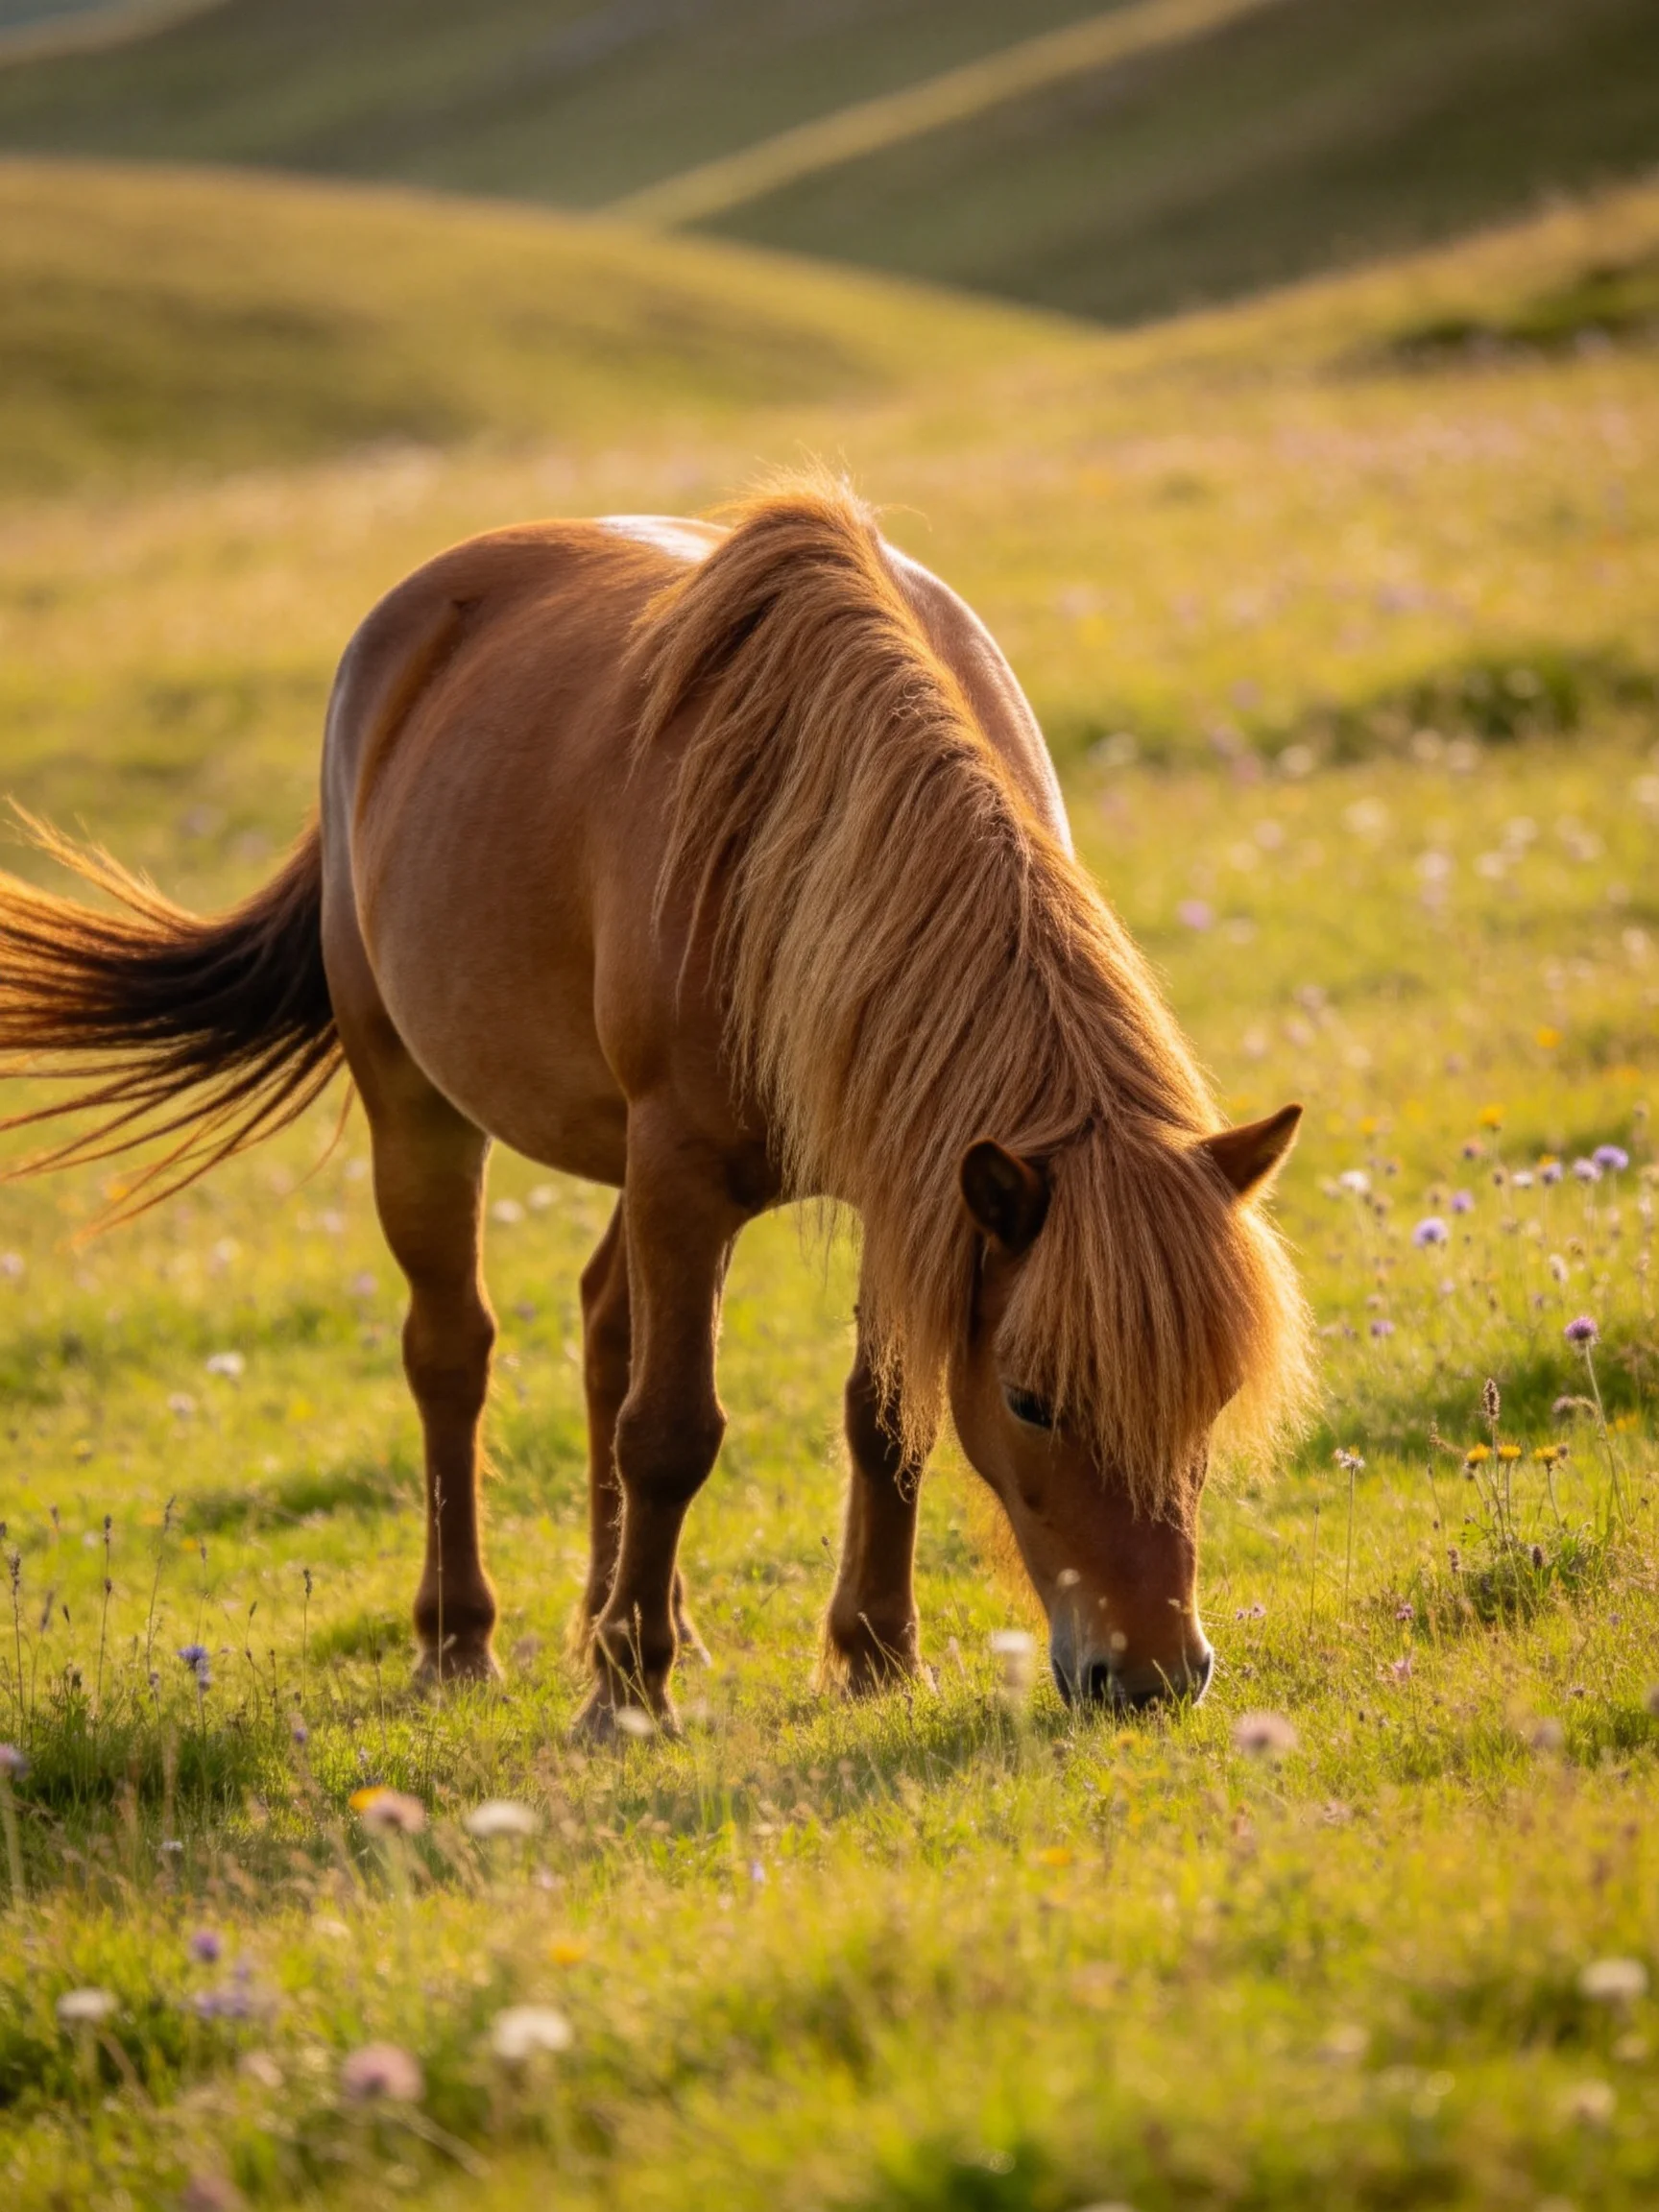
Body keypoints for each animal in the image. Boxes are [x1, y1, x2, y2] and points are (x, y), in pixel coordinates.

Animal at [0, 475, 1309, 1732]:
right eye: (1035, 1402)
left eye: (1212, 1394)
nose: (1152, 1677)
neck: (801, 838)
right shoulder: (685, 1167)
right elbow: (672, 1433)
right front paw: (628, 1691)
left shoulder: (910, 1183)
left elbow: (884, 1414)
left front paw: (875, 1657)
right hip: (419, 1104)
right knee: (452, 1353)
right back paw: (462, 1642)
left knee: (600, 1331)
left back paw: (617, 1612)